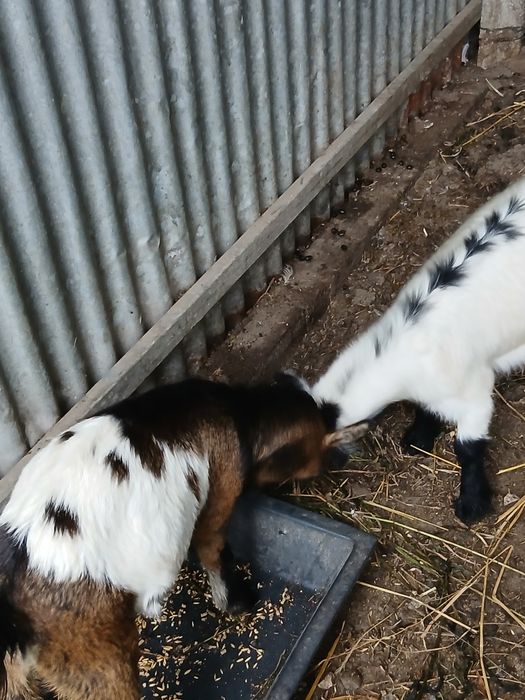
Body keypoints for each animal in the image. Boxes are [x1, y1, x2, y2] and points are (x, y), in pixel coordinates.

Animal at [0, 374, 366, 700]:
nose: (331, 465)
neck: (239, 413)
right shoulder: (221, 489)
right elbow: (212, 548)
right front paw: (237, 603)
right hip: (93, 653)